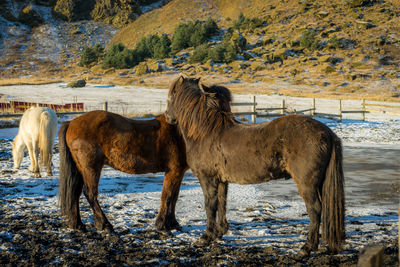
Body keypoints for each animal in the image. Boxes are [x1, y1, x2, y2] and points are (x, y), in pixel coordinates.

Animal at [58, 110, 188, 232]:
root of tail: (71, 123)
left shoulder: (178, 173)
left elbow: (174, 197)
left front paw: (173, 224)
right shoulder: (174, 171)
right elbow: (168, 197)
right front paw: (163, 225)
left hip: (80, 169)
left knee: (76, 192)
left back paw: (77, 225)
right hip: (91, 169)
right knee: (90, 193)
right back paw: (104, 224)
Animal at [164, 76, 346, 256]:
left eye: (171, 96)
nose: (166, 116)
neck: (205, 133)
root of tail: (327, 133)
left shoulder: (207, 178)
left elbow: (210, 205)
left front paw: (206, 237)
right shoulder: (222, 180)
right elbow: (222, 203)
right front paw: (219, 233)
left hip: (307, 184)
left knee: (315, 210)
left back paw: (306, 248)